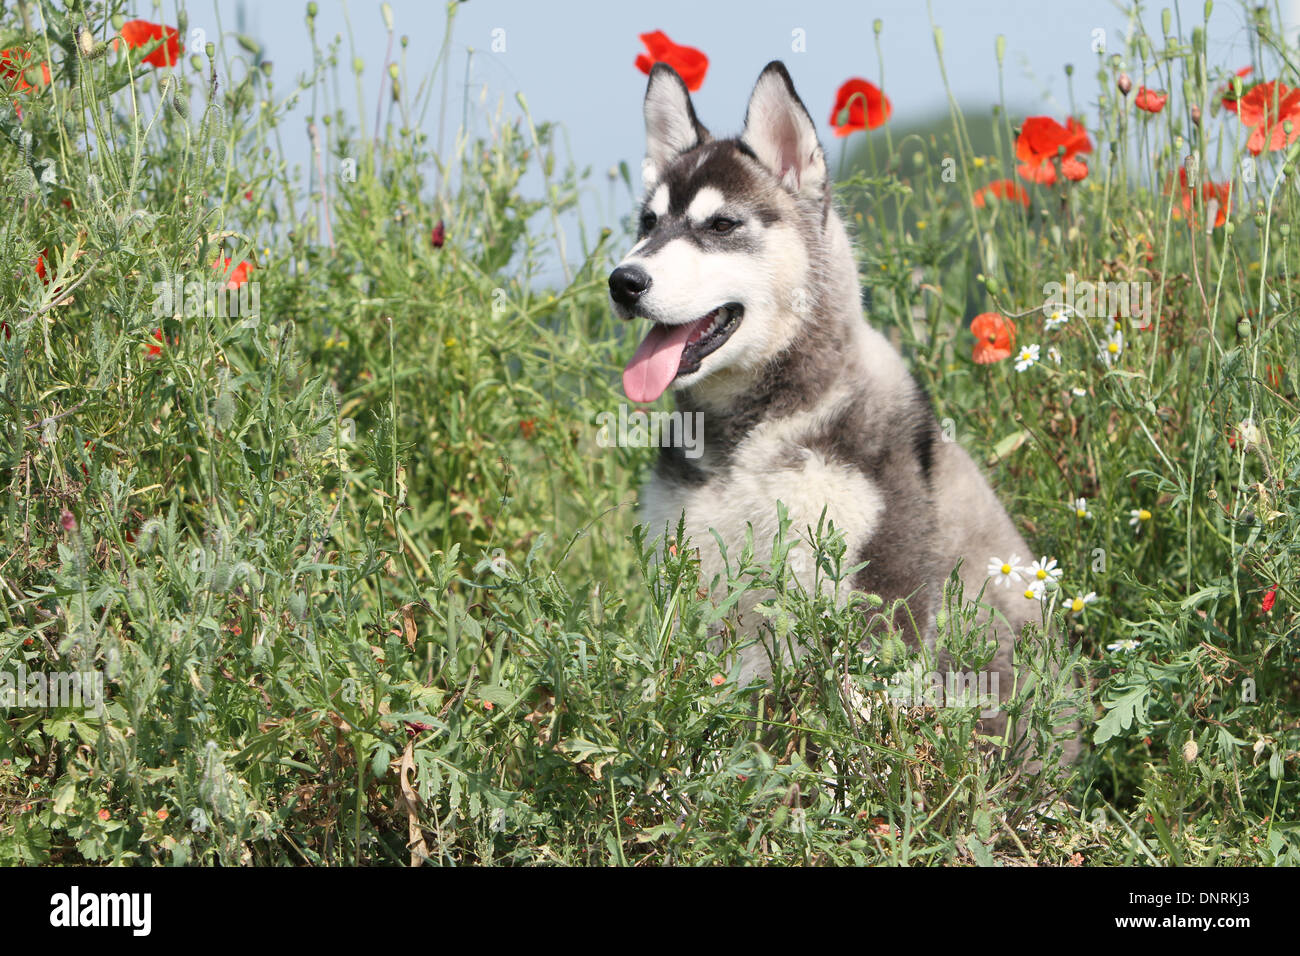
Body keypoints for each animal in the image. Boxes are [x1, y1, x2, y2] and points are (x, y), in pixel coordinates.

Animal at [608, 61, 1076, 764]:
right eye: (647, 221)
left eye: (720, 226)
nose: (623, 282)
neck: (747, 444)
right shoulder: (701, 596)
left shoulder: (879, 592)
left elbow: (849, 731)